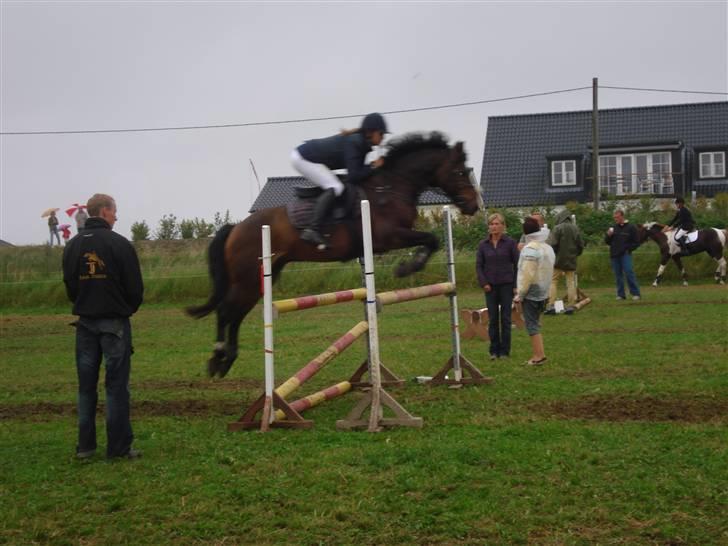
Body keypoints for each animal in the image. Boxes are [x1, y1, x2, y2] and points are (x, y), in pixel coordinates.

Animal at [188, 134, 484, 376]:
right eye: (459, 171)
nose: (473, 206)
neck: (390, 188)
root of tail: (236, 227)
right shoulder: (389, 237)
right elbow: (431, 240)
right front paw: (407, 268)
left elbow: (432, 240)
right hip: (248, 278)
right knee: (226, 311)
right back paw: (219, 357)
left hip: (261, 279)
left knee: (235, 314)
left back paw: (225, 360)